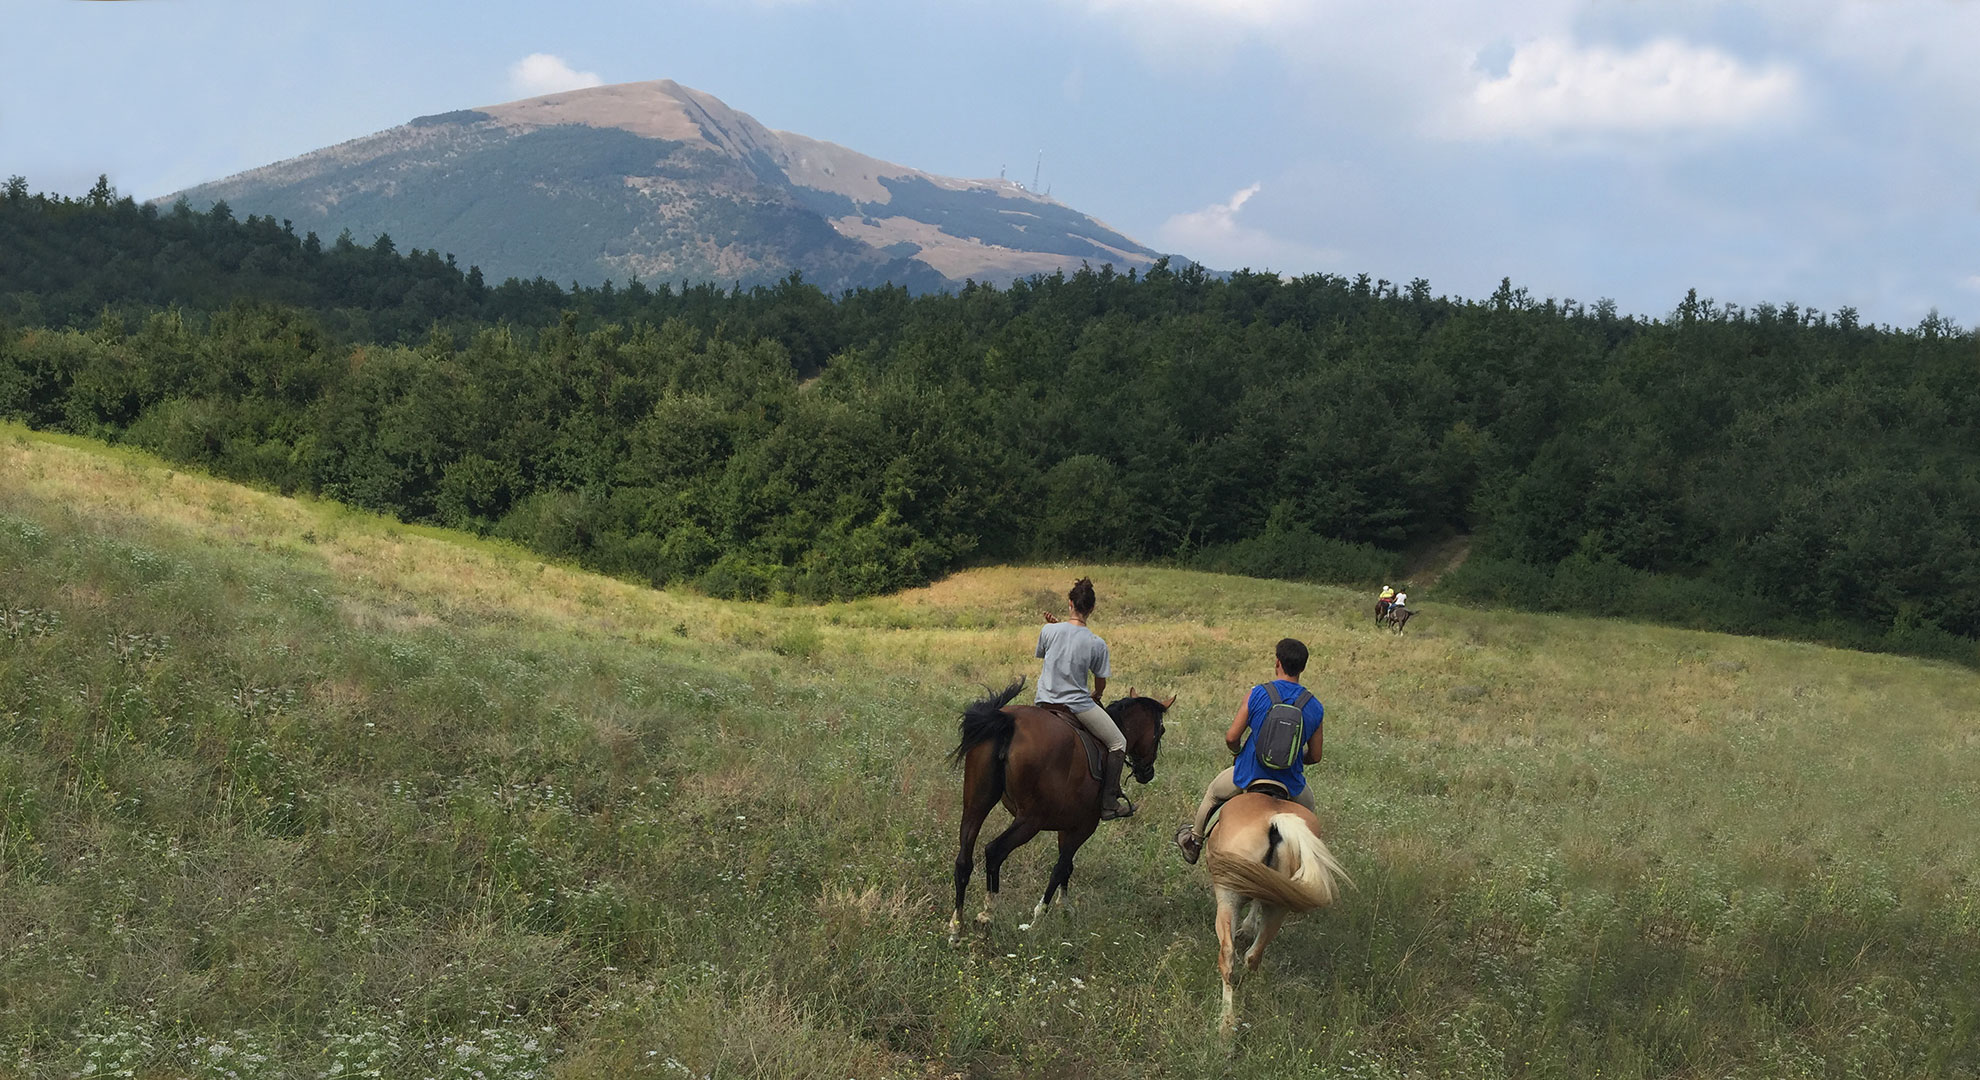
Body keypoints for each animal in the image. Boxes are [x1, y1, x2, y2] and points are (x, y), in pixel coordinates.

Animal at [946, 681, 1164, 943]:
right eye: (1161, 731)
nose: (1147, 773)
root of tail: (1009, 721)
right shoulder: (1083, 826)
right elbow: (1061, 867)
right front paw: (1039, 916)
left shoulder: (1067, 826)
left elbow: (1067, 867)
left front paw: (1065, 907)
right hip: (1030, 820)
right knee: (994, 851)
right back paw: (987, 914)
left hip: (976, 805)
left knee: (963, 860)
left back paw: (956, 926)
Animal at [1195, 788, 1354, 1030]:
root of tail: (1277, 822)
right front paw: (1248, 928)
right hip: (1279, 905)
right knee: (1253, 955)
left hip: (1228, 897)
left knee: (1228, 956)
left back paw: (1225, 1023)